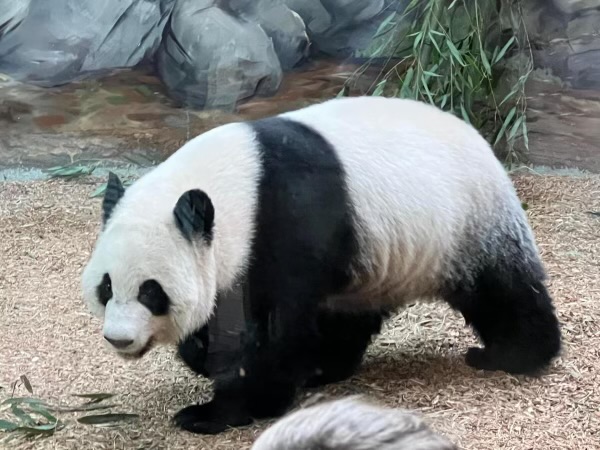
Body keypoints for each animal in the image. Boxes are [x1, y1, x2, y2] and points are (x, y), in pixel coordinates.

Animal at [79, 96, 564, 436]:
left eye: (150, 290)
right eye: (106, 288)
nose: (119, 339)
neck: (236, 186)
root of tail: (479, 138)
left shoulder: (286, 223)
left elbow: (276, 328)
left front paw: (227, 409)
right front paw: (205, 359)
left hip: (465, 222)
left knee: (501, 290)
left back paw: (511, 354)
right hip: (375, 258)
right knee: (349, 315)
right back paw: (323, 368)